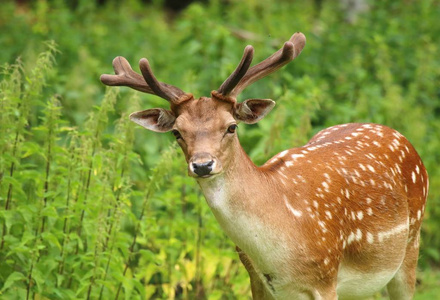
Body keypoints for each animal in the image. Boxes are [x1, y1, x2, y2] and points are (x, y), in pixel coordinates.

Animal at [101, 31, 428, 298]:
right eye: (177, 133)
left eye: (231, 126)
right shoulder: (256, 279)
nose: (203, 165)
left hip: (410, 248)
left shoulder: (326, 276)